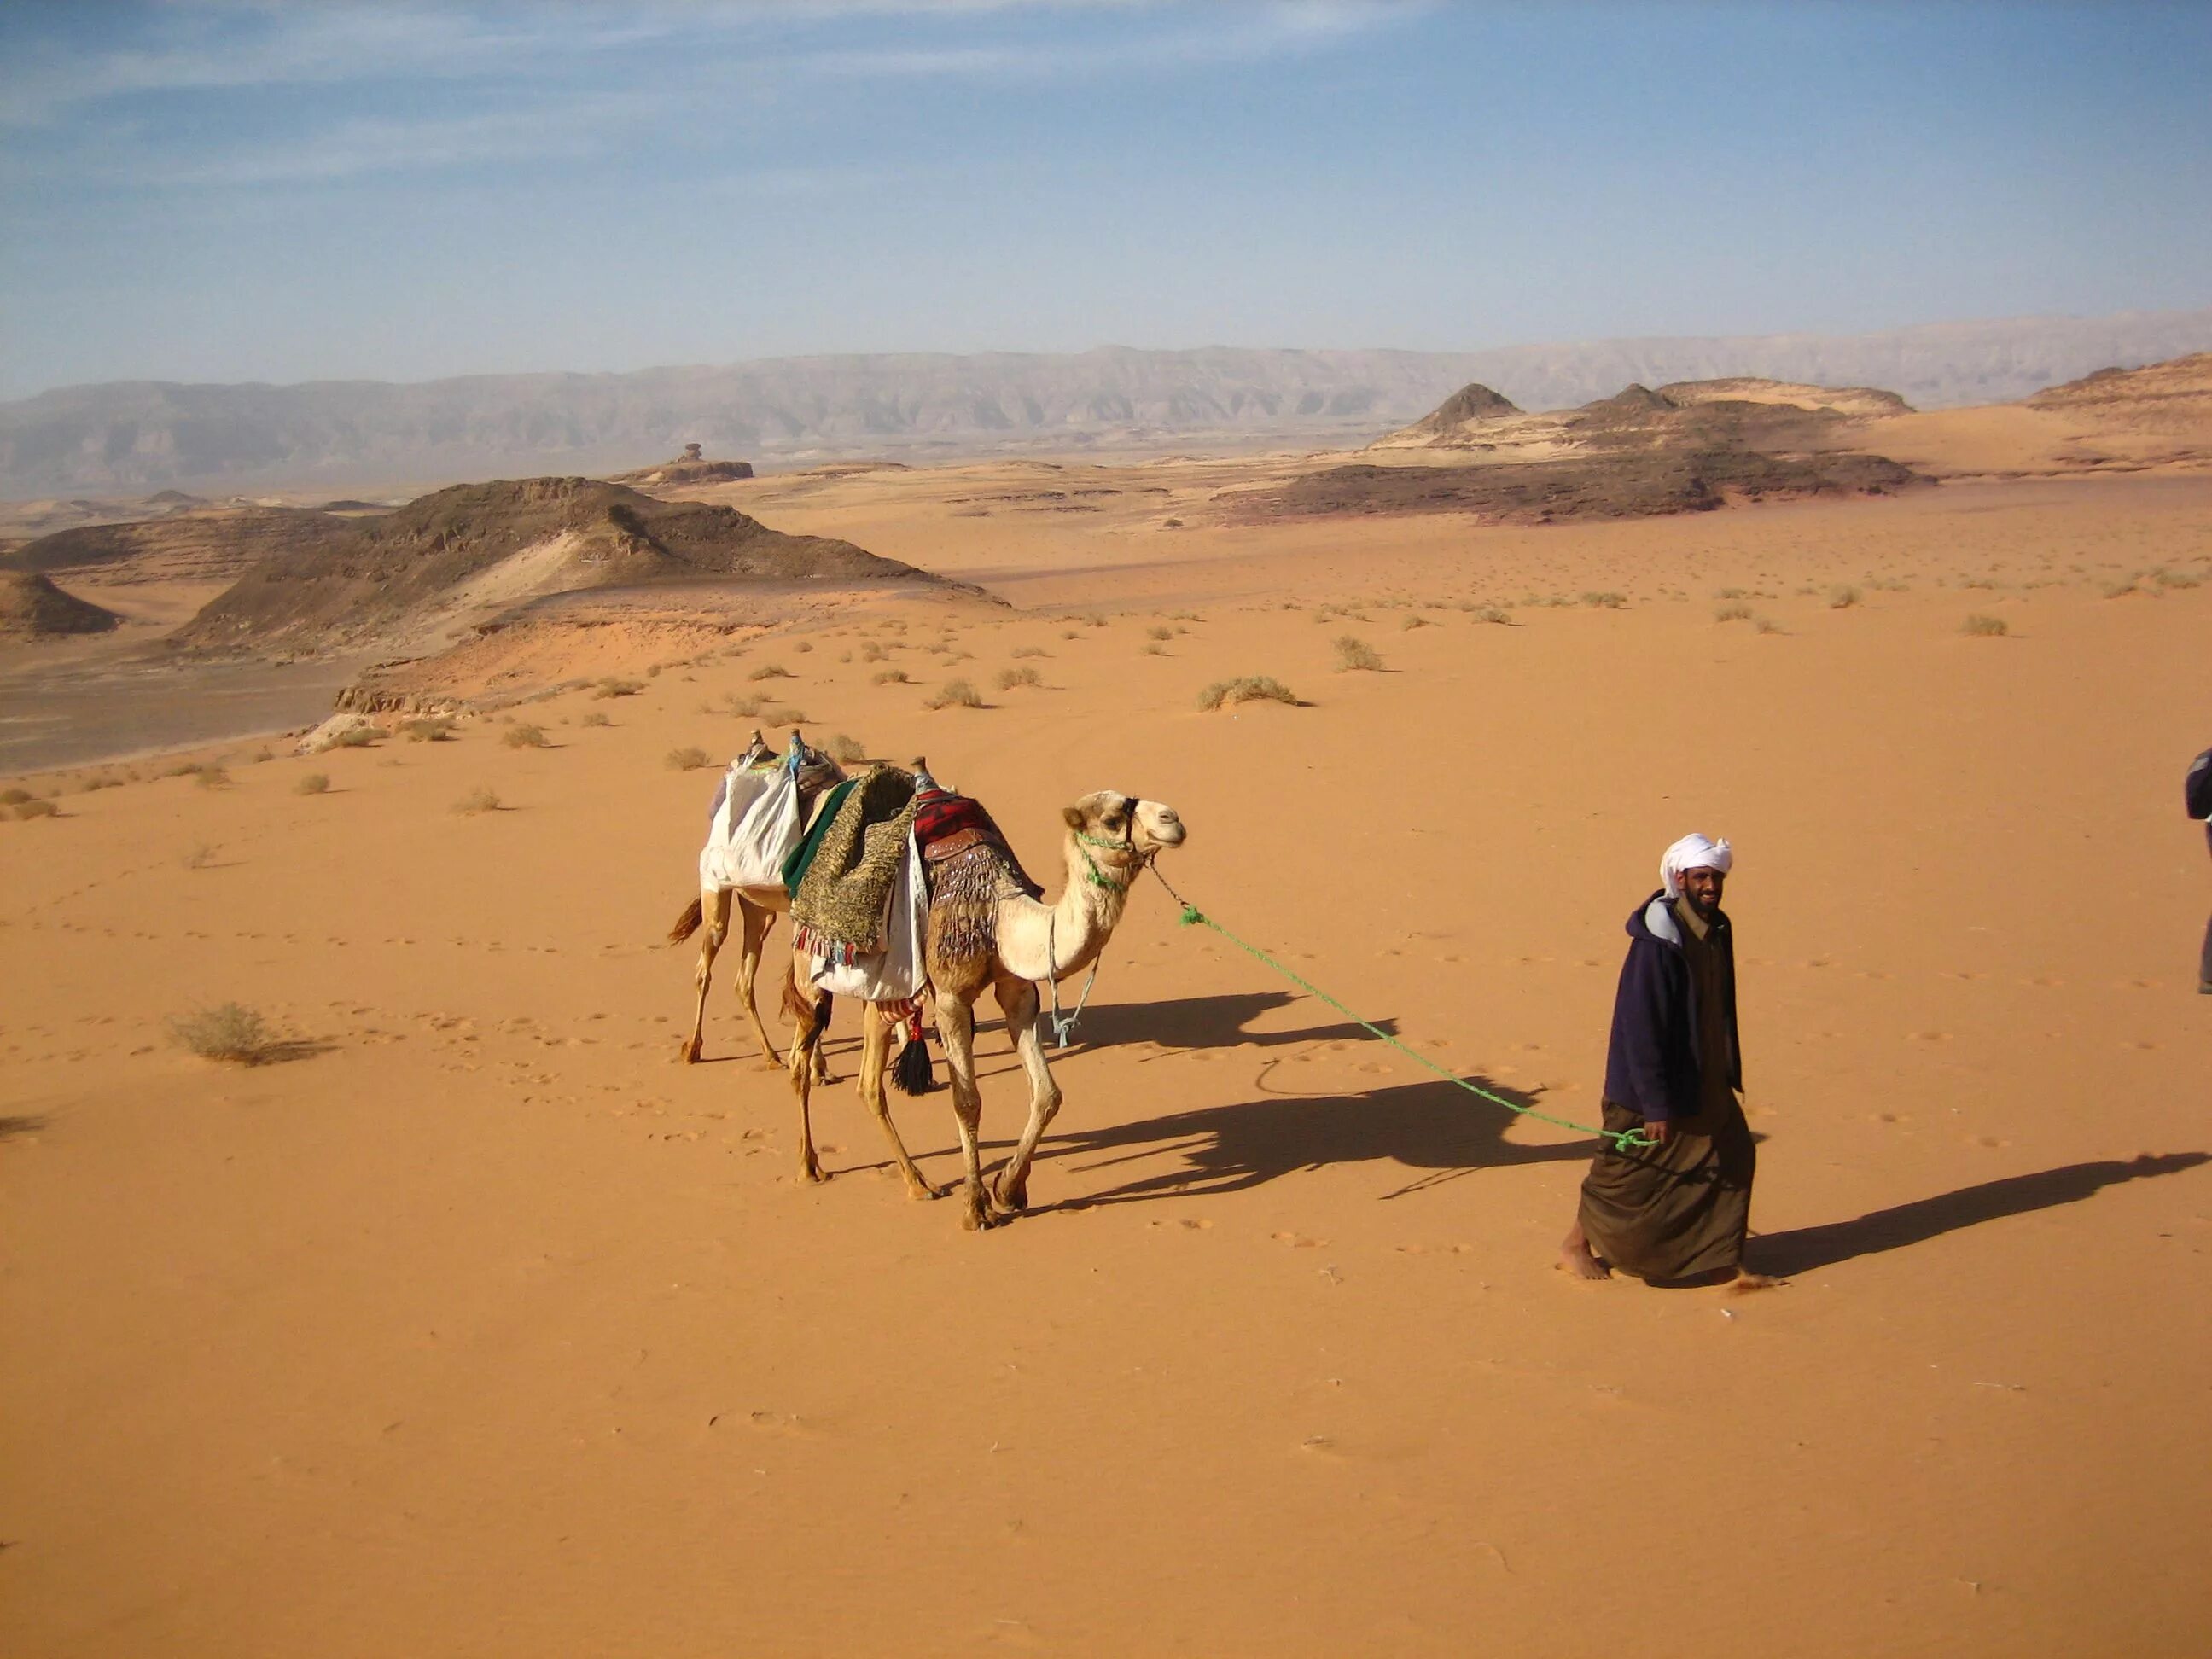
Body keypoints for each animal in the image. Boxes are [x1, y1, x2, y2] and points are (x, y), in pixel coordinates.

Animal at [787, 791, 1185, 1238]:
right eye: (1114, 819)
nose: (1172, 820)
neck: (999, 915)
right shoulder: (951, 996)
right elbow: (967, 1101)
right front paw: (976, 1208)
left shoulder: (1018, 991)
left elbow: (1048, 1094)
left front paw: (1009, 1188)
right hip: (810, 962)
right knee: (802, 1057)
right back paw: (813, 1167)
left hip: (884, 988)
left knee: (869, 1082)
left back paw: (917, 1182)